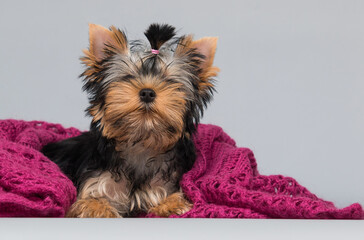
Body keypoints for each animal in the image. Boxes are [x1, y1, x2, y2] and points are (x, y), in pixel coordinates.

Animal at [42, 23, 219, 218]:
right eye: (128, 77)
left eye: (169, 80)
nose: (147, 92)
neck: (140, 141)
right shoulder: (95, 183)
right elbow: (90, 202)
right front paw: (100, 210)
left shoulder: (163, 185)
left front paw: (175, 204)